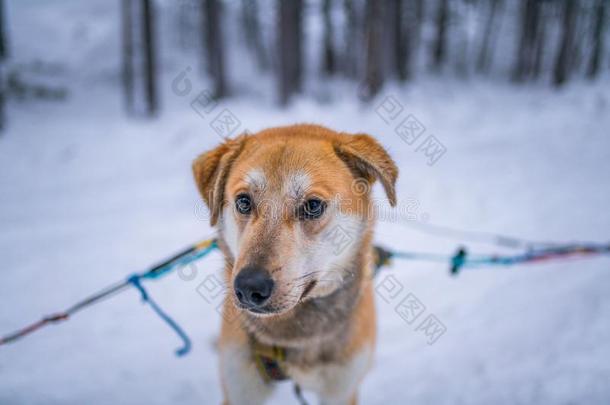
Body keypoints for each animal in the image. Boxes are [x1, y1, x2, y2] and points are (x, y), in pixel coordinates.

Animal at [192, 124, 396, 404]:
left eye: (313, 205)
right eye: (243, 201)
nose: (248, 287)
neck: (292, 336)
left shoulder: (341, 390)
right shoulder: (240, 388)